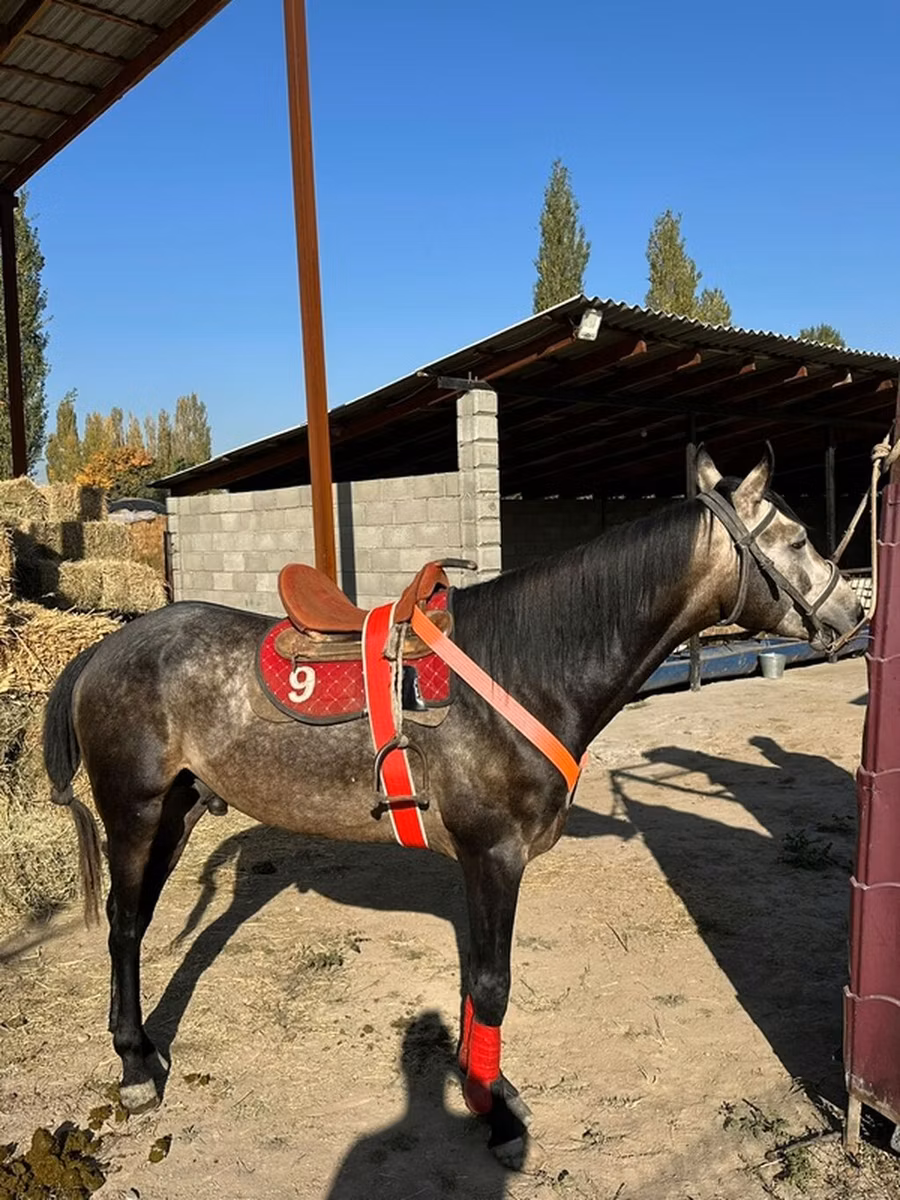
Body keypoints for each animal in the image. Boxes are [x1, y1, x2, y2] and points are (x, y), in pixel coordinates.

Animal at [42, 447, 862, 1162]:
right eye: (796, 537)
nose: (853, 611)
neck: (523, 668)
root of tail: (101, 650)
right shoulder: (494, 855)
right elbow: (493, 987)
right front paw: (495, 1116)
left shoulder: (480, 864)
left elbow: (474, 979)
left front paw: (480, 1087)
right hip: (135, 814)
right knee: (123, 926)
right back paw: (135, 1068)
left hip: (176, 814)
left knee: (136, 921)